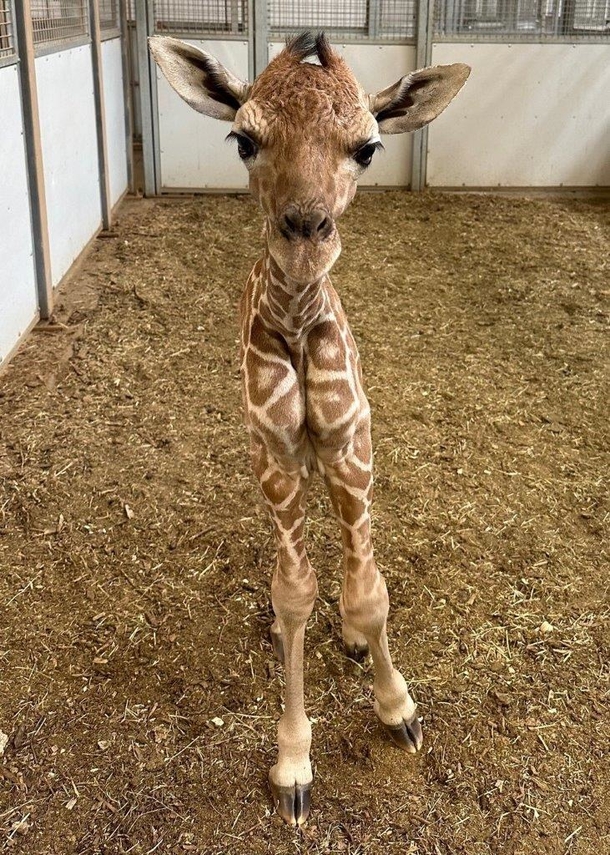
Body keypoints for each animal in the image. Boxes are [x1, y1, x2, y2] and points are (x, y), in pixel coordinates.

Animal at [149, 32, 470, 826]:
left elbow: (371, 591)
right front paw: (293, 763)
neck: (298, 328)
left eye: (368, 148)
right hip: (279, 457)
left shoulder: (353, 443)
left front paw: (397, 707)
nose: (304, 234)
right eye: (243, 139)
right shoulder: (272, 450)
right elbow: (297, 591)